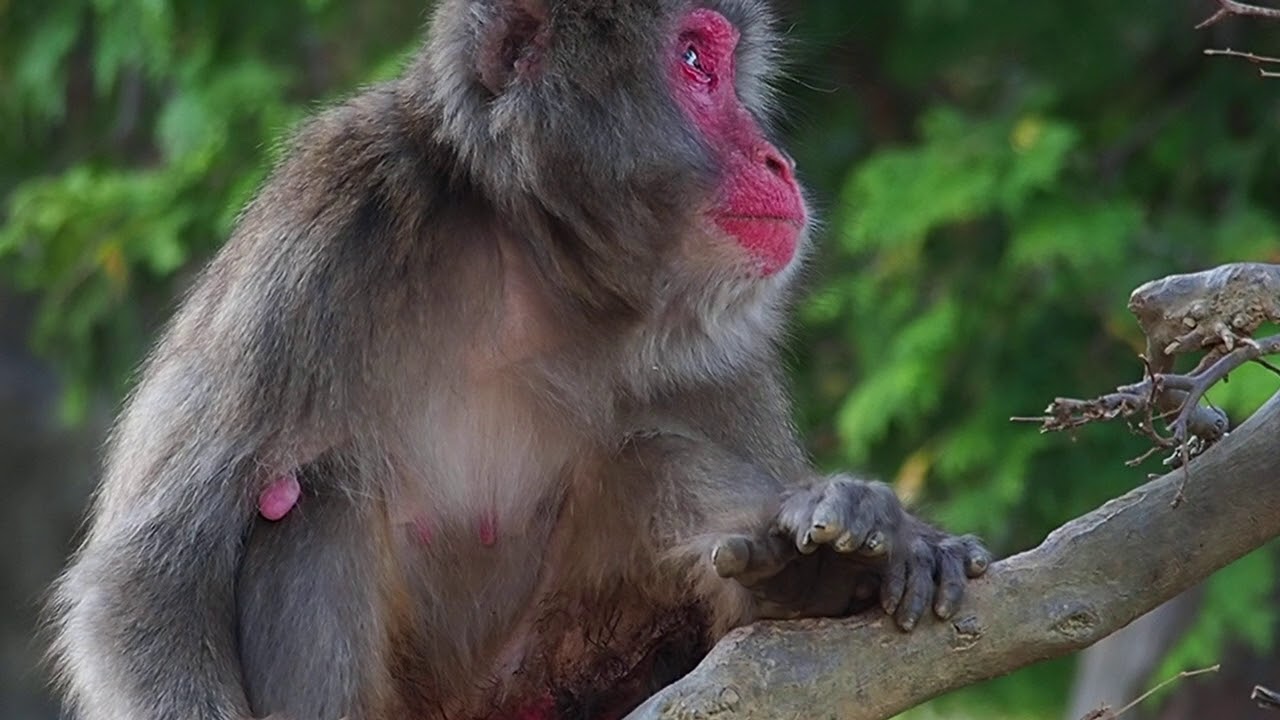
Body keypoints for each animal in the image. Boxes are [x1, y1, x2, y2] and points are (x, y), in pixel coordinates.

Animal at [46, 1, 991, 719]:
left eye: (720, 63)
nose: (776, 159)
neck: (529, 262)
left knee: (644, 458)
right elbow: (149, 583)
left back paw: (813, 572)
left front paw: (871, 533)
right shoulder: (330, 221)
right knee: (311, 497)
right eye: (694, 61)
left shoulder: (720, 341)